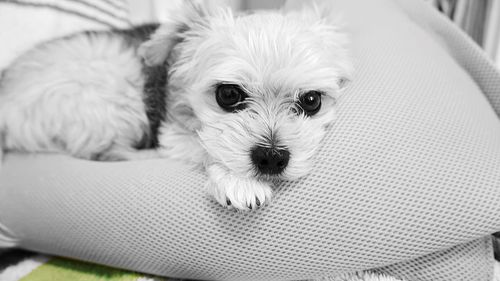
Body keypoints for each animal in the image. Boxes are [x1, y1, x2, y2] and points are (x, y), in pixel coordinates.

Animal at [0, 0, 354, 210]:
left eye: (311, 101)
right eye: (228, 95)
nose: (271, 158)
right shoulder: (173, 134)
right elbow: (206, 147)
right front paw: (237, 181)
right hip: (110, 90)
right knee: (102, 153)